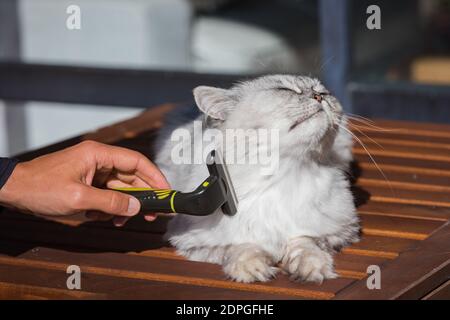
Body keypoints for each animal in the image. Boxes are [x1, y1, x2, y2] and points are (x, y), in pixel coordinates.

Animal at [156, 75, 360, 282]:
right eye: (284, 90)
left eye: (324, 92)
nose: (319, 96)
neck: (285, 172)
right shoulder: (195, 240)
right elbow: (242, 246)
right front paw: (251, 270)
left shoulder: (338, 230)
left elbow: (303, 242)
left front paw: (312, 268)